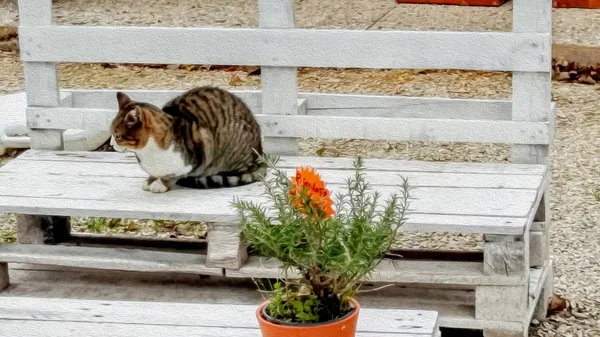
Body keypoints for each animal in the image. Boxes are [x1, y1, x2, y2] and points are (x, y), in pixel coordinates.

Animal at [109, 85, 264, 193]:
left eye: (117, 136)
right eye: (110, 133)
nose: (111, 144)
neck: (147, 152)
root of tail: (260, 156)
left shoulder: (193, 159)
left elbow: (171, 175)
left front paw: (160, 183)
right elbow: (154, 173)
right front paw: (150, 180)